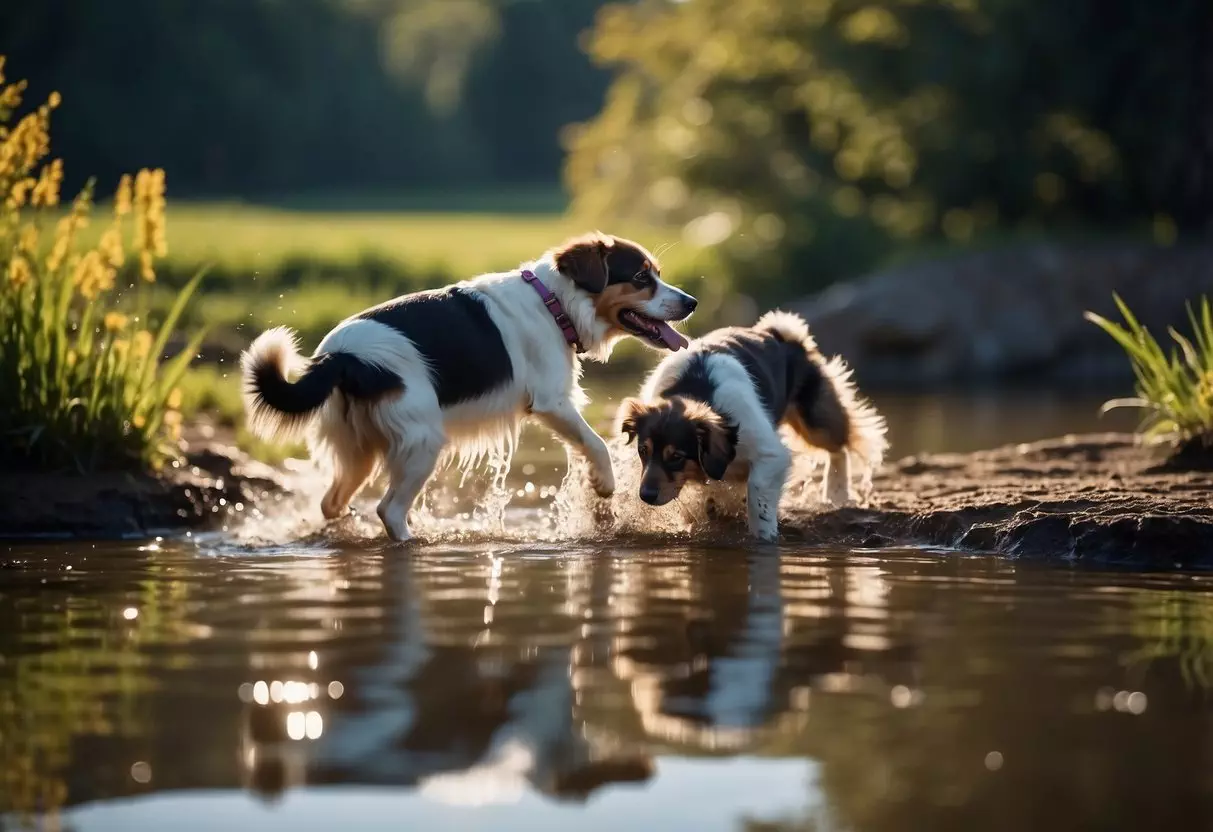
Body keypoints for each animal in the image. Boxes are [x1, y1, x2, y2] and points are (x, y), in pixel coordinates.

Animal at [241, 232, 698, 540]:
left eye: (656, 275)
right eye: (641, 277)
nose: (691, 302)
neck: (554, 304)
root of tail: (341, 357)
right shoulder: (552, 403)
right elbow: (596, 442)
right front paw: (604, 484)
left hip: (358, 450)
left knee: (332, 502)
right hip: (423, 442)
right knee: (389, 510)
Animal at [616, 312, 892, 540]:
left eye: (676, 457)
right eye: (643, 451)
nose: (646, 495)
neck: (698, 394)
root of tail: (777, 333)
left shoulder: (771, 453)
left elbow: (757, 494)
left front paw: (764, 533)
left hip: (815, 420)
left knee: (840, 445)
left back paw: (836, 493)